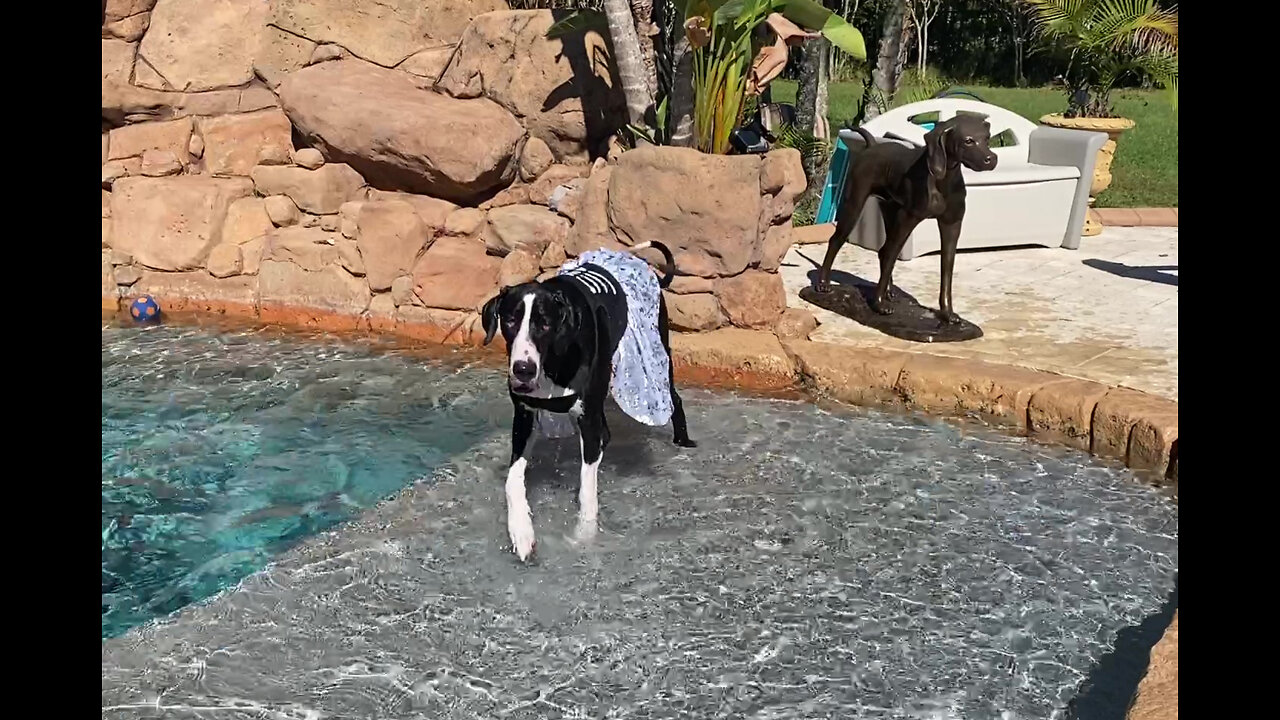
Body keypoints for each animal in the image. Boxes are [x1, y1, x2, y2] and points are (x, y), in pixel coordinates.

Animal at [481, 238, 701, 558]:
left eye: (544, 324)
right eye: (510, 320)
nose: (523, 369)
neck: (554, 360)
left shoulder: (586, 417)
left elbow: (587, 492)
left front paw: (584, 536)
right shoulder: (524, 416)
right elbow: (513, 481)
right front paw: (521, 531)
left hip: (659, 356)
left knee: (673, 401)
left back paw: (683, 441)